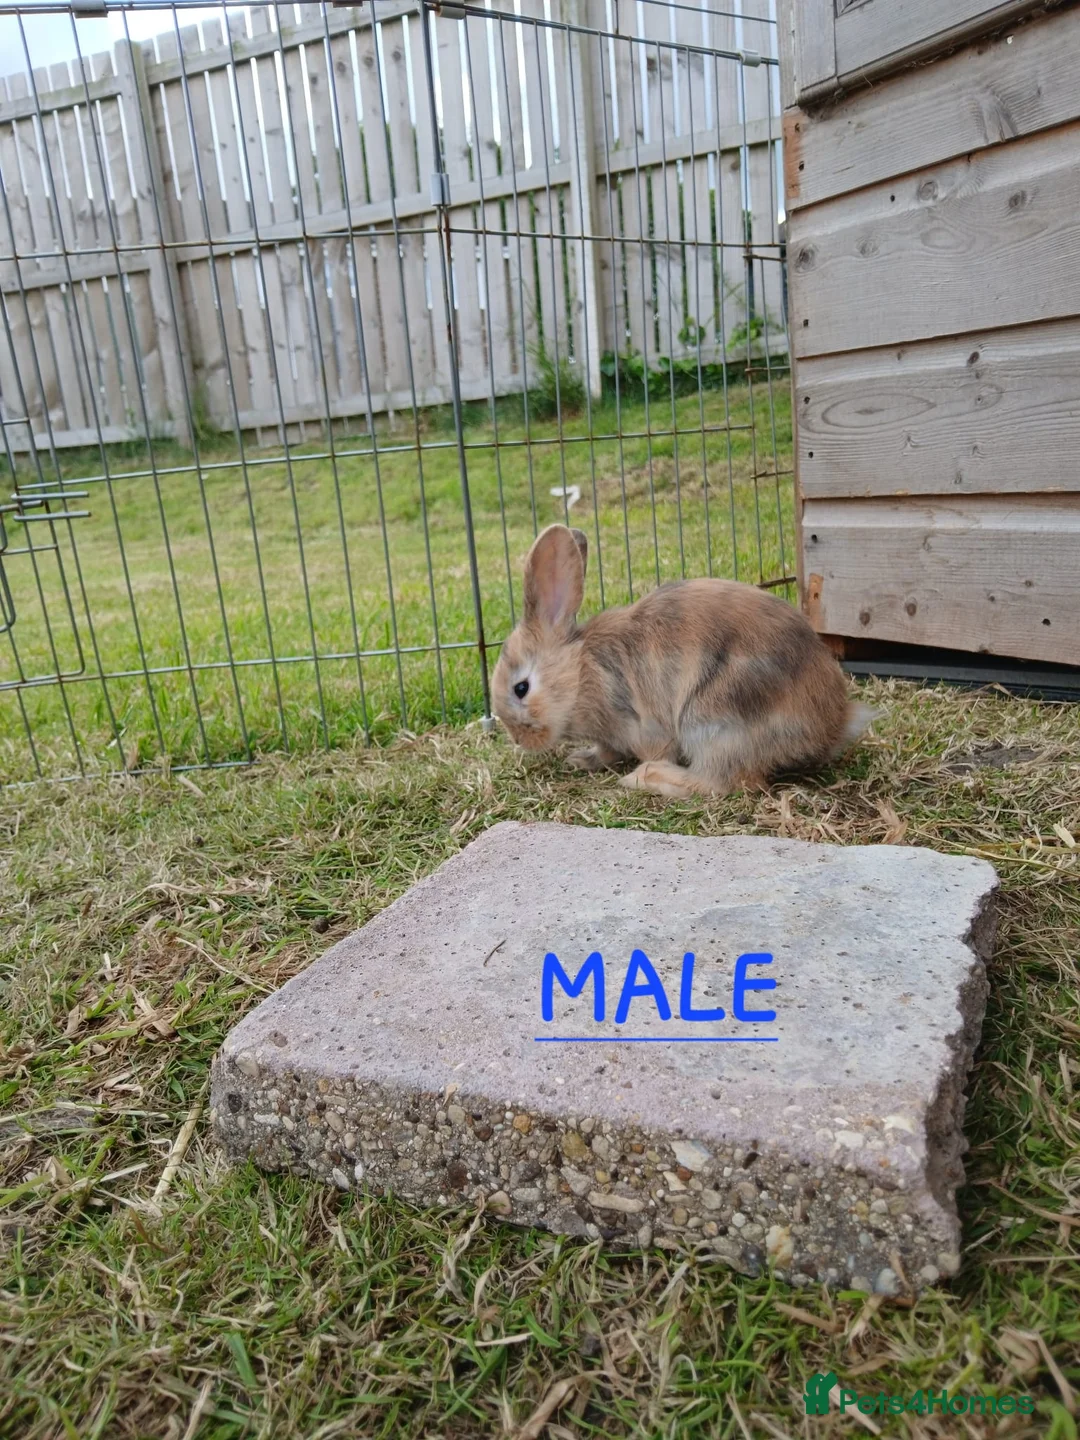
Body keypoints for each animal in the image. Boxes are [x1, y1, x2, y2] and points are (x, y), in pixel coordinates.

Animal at [491, 523, 875, 798]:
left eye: (521, 688)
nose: (520, 741)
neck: (580, 671)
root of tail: (833, 724)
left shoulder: (643, 725)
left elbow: (655, 748)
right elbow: (606, 750)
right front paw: (583, 759)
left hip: (712, 721)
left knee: (723, 783)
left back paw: (645, 778)